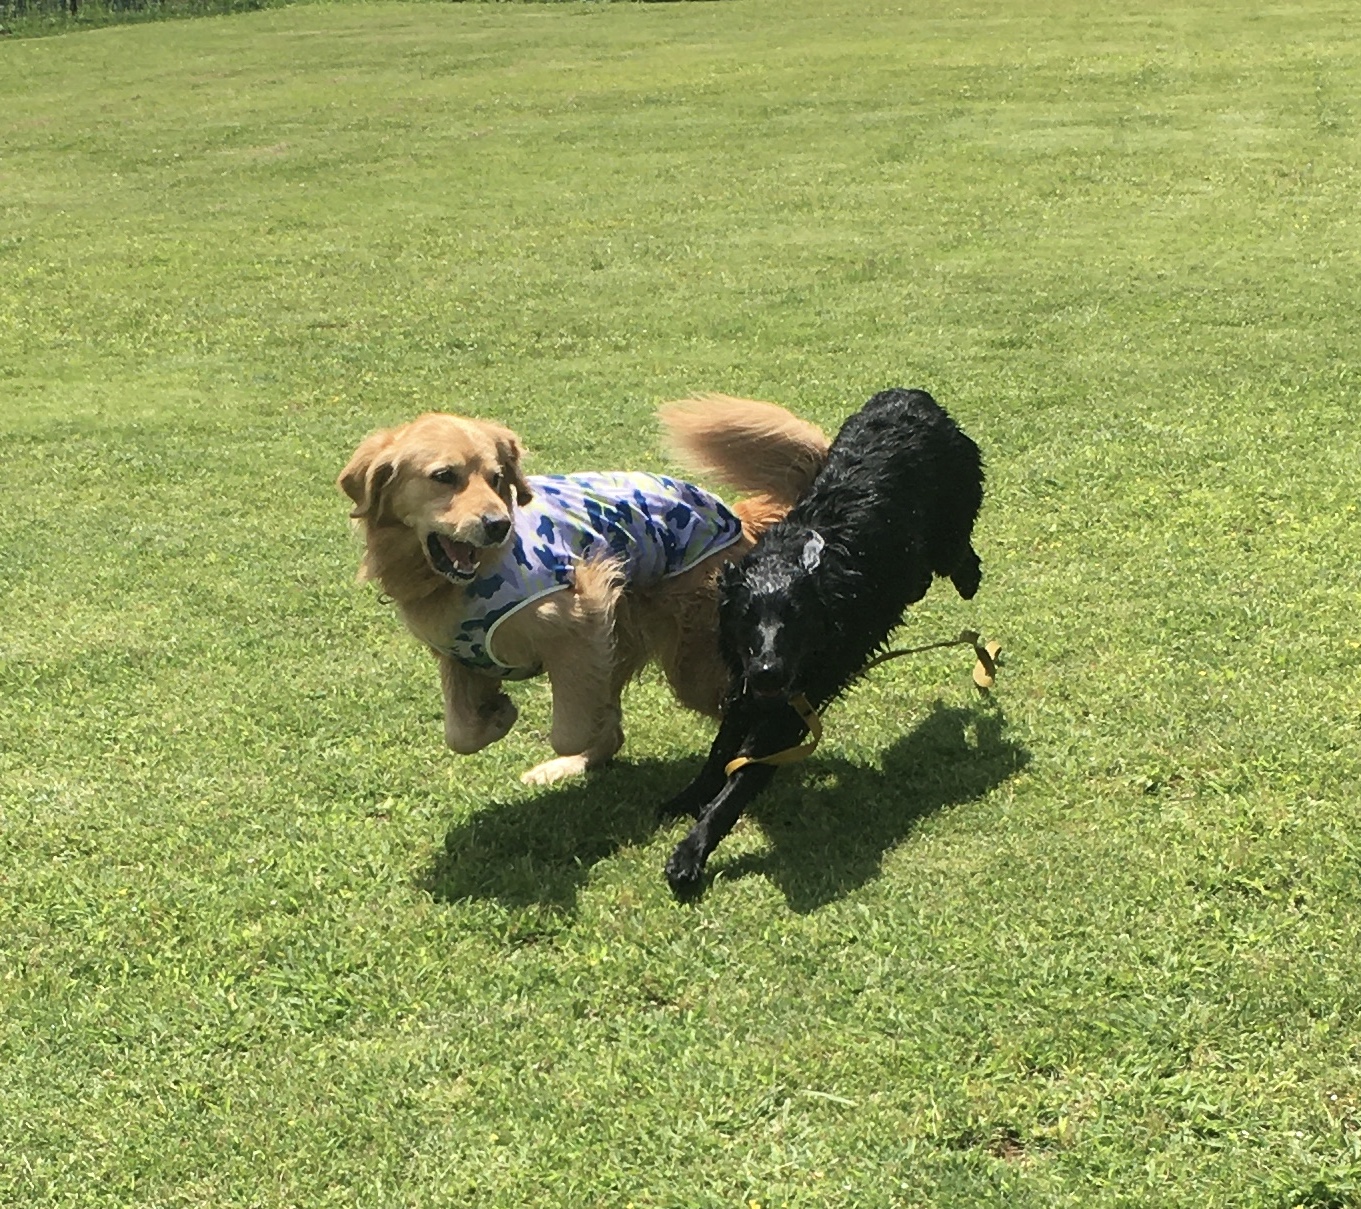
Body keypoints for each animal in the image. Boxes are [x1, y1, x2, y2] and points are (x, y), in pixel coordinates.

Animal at [337, 398, 829, 785]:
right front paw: (496, 713)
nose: (498, 525)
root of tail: (737, 519)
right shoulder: (457, 655)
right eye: (444, 476)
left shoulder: (581, 617)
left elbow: (569, 729)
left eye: (497, 479)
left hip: (687, 663)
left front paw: (512, 715)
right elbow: (460, 735)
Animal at [659, 387, 985, 891]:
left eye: (795, 618)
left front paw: (691, 853)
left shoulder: (787, 714)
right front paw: (687, 797)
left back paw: (966, 577)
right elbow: (719, 754)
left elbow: (738, 785)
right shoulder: (745, 687)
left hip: (953, 509)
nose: (769, 673)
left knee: (957, 552)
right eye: (747, 617)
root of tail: (912, 396)